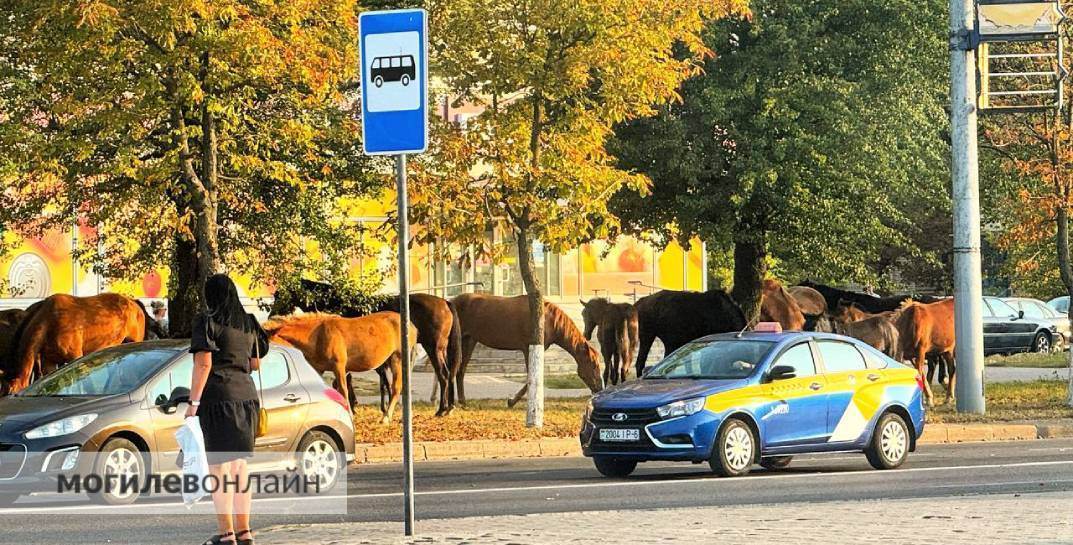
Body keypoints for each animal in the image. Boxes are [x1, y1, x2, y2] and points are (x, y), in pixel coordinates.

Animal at [1, 291, 165, 394]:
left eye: (8, 392)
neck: (50, 321)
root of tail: (133, 302)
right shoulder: (49, 363)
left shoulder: (75, 356)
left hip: (134, 342)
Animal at [265, 311, 418, 420]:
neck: (318, 335)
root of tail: (412, 326)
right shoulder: (318, 369)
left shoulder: (339, 366)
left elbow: (343, 390)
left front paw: (349, 413)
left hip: (397, 359)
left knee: (396, 387)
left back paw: (386, 418)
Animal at [450, 293, 605, 405]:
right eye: (593, 364)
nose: (600, 388)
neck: (548, 320)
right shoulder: (528, 348)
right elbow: (531, 375)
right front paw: (512, 401)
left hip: (469, 340)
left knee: (461, 370)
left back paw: (462, 402)